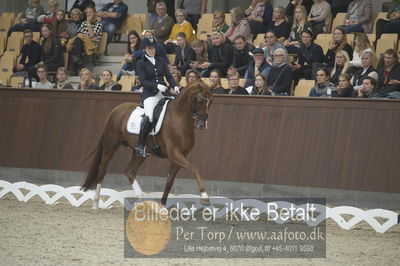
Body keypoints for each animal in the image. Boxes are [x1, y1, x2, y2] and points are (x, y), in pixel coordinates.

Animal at [79, 81, 214, 208]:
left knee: (129, 171)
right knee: (102, 170)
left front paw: (162, 205)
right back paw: (96, 203)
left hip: (140, 152)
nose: (202, 125)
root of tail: (116, 109)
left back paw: (142, 199)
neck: (179, 117)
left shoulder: (180, 156)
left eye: (211, 102)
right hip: (111, 144)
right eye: (200, 101)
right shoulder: (175, 154)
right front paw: (205, 196)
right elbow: (195, 169)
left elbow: (169, 181)